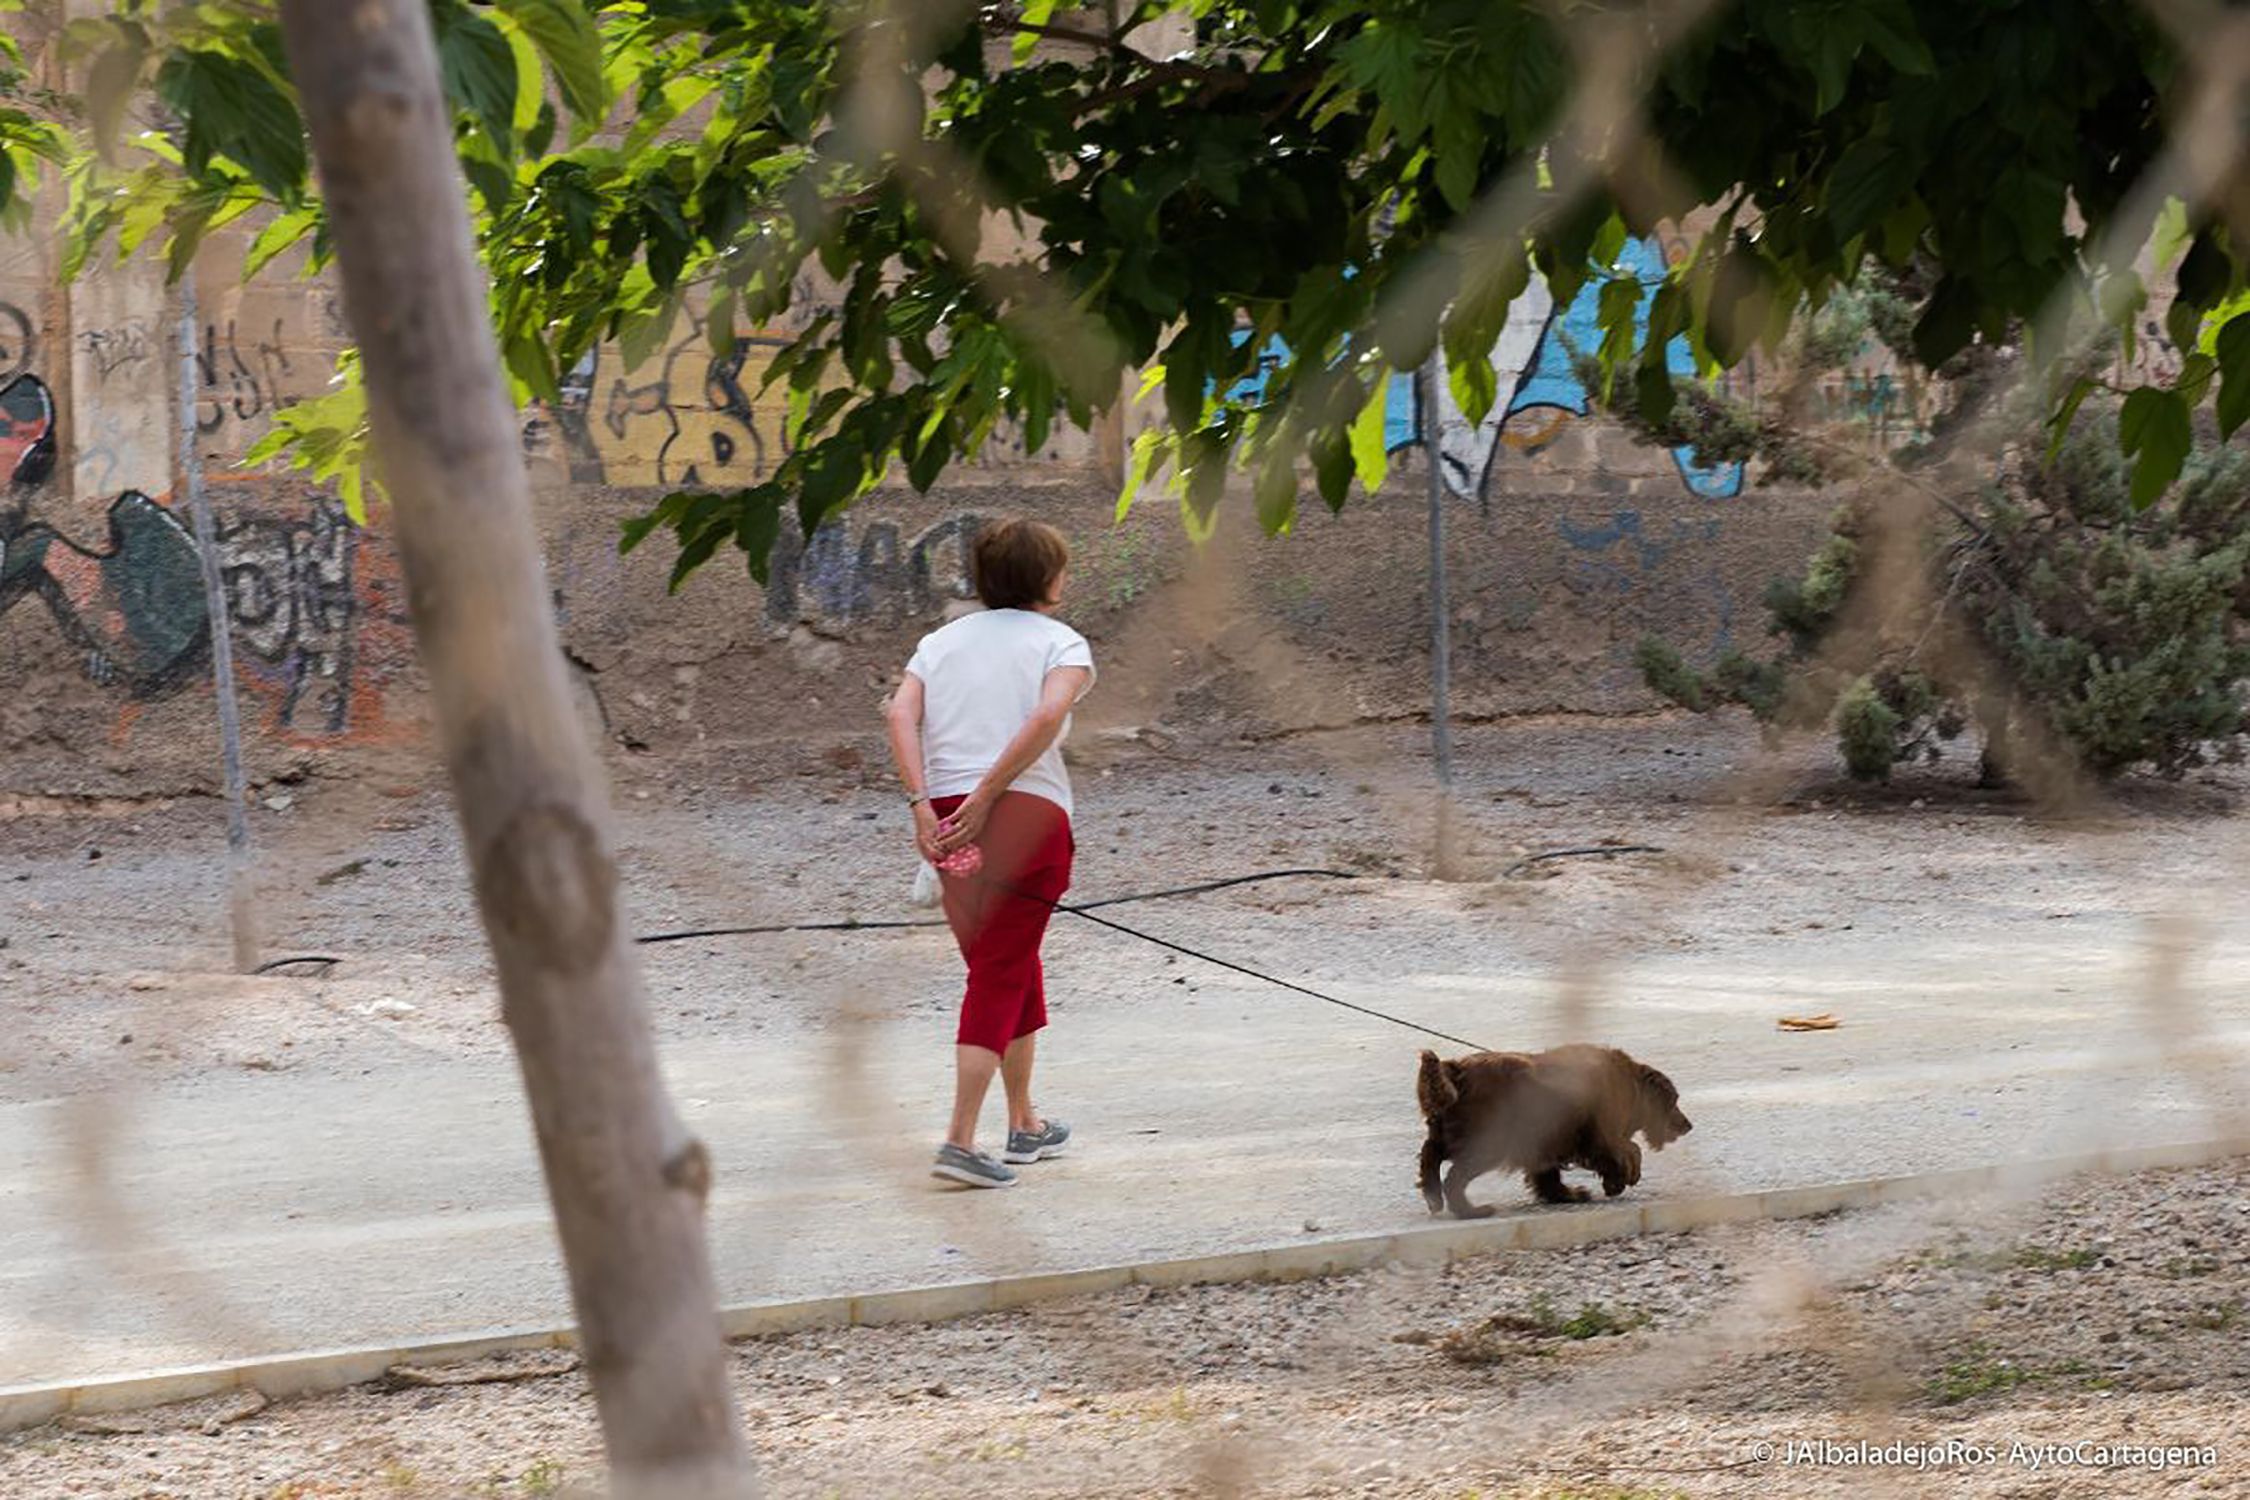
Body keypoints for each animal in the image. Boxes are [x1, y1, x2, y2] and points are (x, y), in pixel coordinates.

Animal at [1422, 1043, 1692, 1223]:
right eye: (1674, 1101)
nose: (1688, 1125)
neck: (1631, 1084)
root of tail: (1456, 1071)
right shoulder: (1602, 1134)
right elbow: (1630, 1150)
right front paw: (1622, 1180)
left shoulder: (1544, 1142)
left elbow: (1548, 1176)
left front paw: (1571, 1194)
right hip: (1490, 1140)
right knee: (1453, 1176)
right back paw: (1471, 1211)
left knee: (1430, 1152)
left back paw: (1433, 1196)